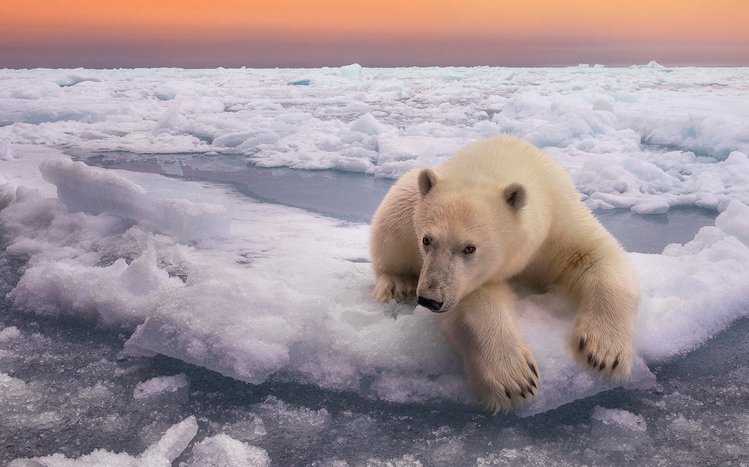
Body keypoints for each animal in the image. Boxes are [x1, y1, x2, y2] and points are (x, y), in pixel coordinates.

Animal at [370, 135, 639, 413]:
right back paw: (397, 283)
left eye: (469, 247)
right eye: (426, 240)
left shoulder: (561, 220)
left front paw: (603, 353)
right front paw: (516, 378)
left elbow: (595, 257)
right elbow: (477, 300)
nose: (430, 298)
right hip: (406, 205)